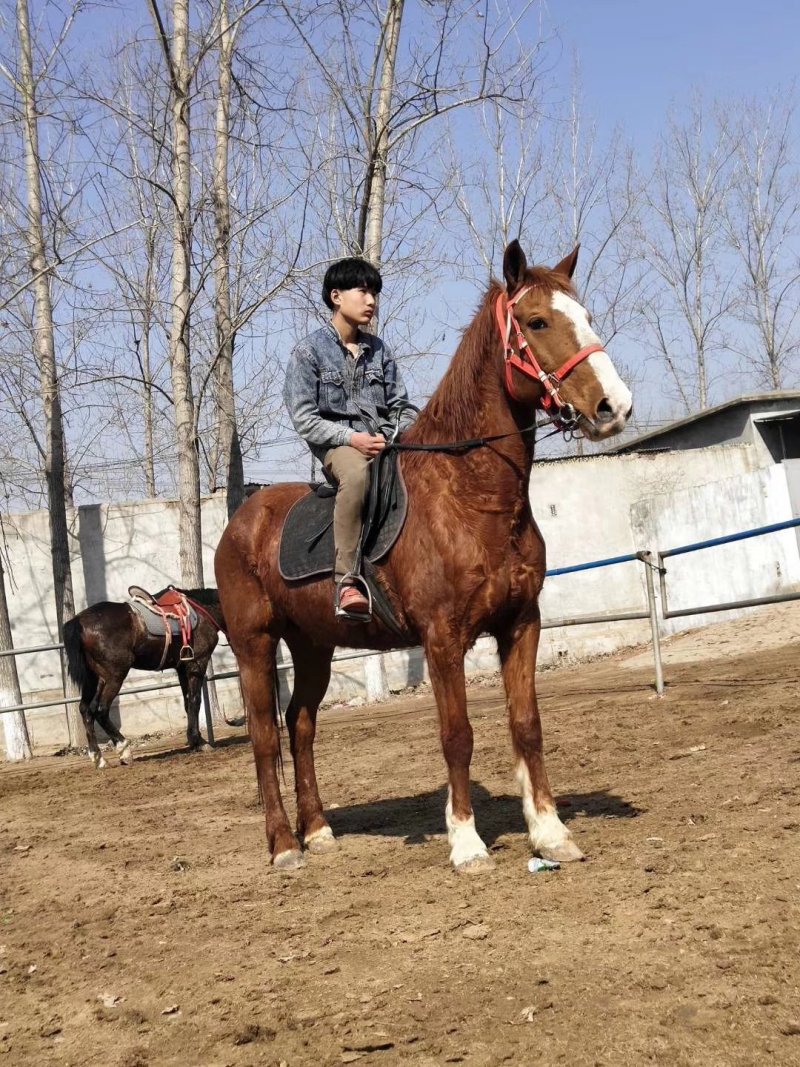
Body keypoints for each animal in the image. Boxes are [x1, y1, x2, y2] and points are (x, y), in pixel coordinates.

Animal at [63, 587, 226, 768]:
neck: (202, 610)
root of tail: (78, 621)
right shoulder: (197, 665)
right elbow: (195, 701)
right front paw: (199, 742)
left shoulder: (182, 668)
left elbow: (187, 702)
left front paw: (194, 740)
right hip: (114, 677)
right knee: (100, 710)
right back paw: (124, 750)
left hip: (94, 679)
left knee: (86, 709)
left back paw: (98, 758)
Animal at [214, 240, 632, 872]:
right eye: (537, 322)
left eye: (585, 317)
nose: (615, 406)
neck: (470, 495)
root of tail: (239, 522)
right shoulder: (442, 638)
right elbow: (457, 735)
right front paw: (466, 842)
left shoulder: (521, 625)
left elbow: (527, 725)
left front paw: (550, 832)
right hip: (254, 645)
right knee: (265, 735)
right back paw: (285, 846)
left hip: (312, 645)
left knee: (301, 725)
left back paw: (318, 831)